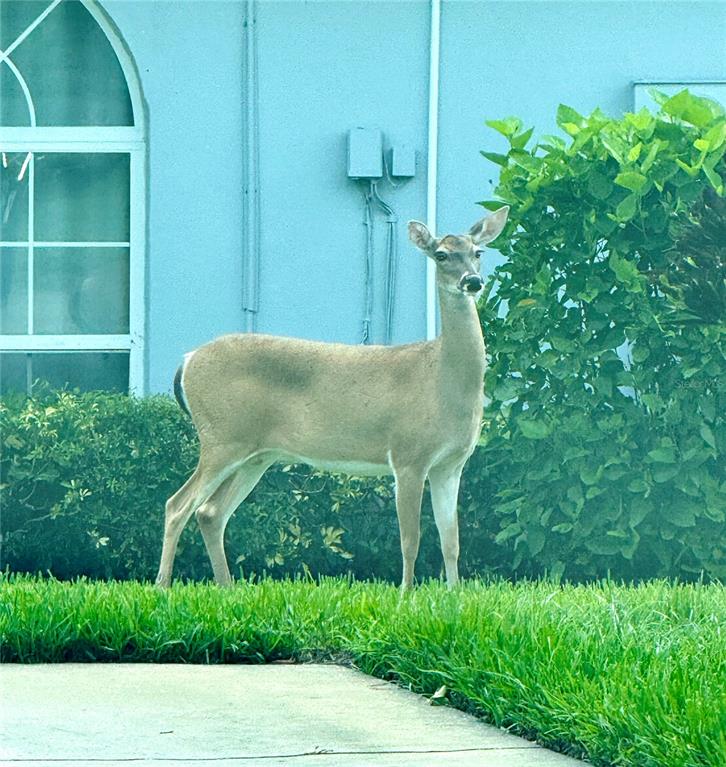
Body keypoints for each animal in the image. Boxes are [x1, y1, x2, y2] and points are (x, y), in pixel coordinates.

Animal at [155, 206, 509, 590]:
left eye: (478, 252)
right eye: (441, 255)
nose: (472, 282)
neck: (441, 379)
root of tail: (188, 360)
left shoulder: (451, 464)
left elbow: (451, 540)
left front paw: (454, 594)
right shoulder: (407, 455)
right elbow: (410, 538)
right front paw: (406, 593)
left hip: (256, 454)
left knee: (210, 511)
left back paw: (227, 587)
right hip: (222, 437)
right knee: (177, 505)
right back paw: (163, 586)